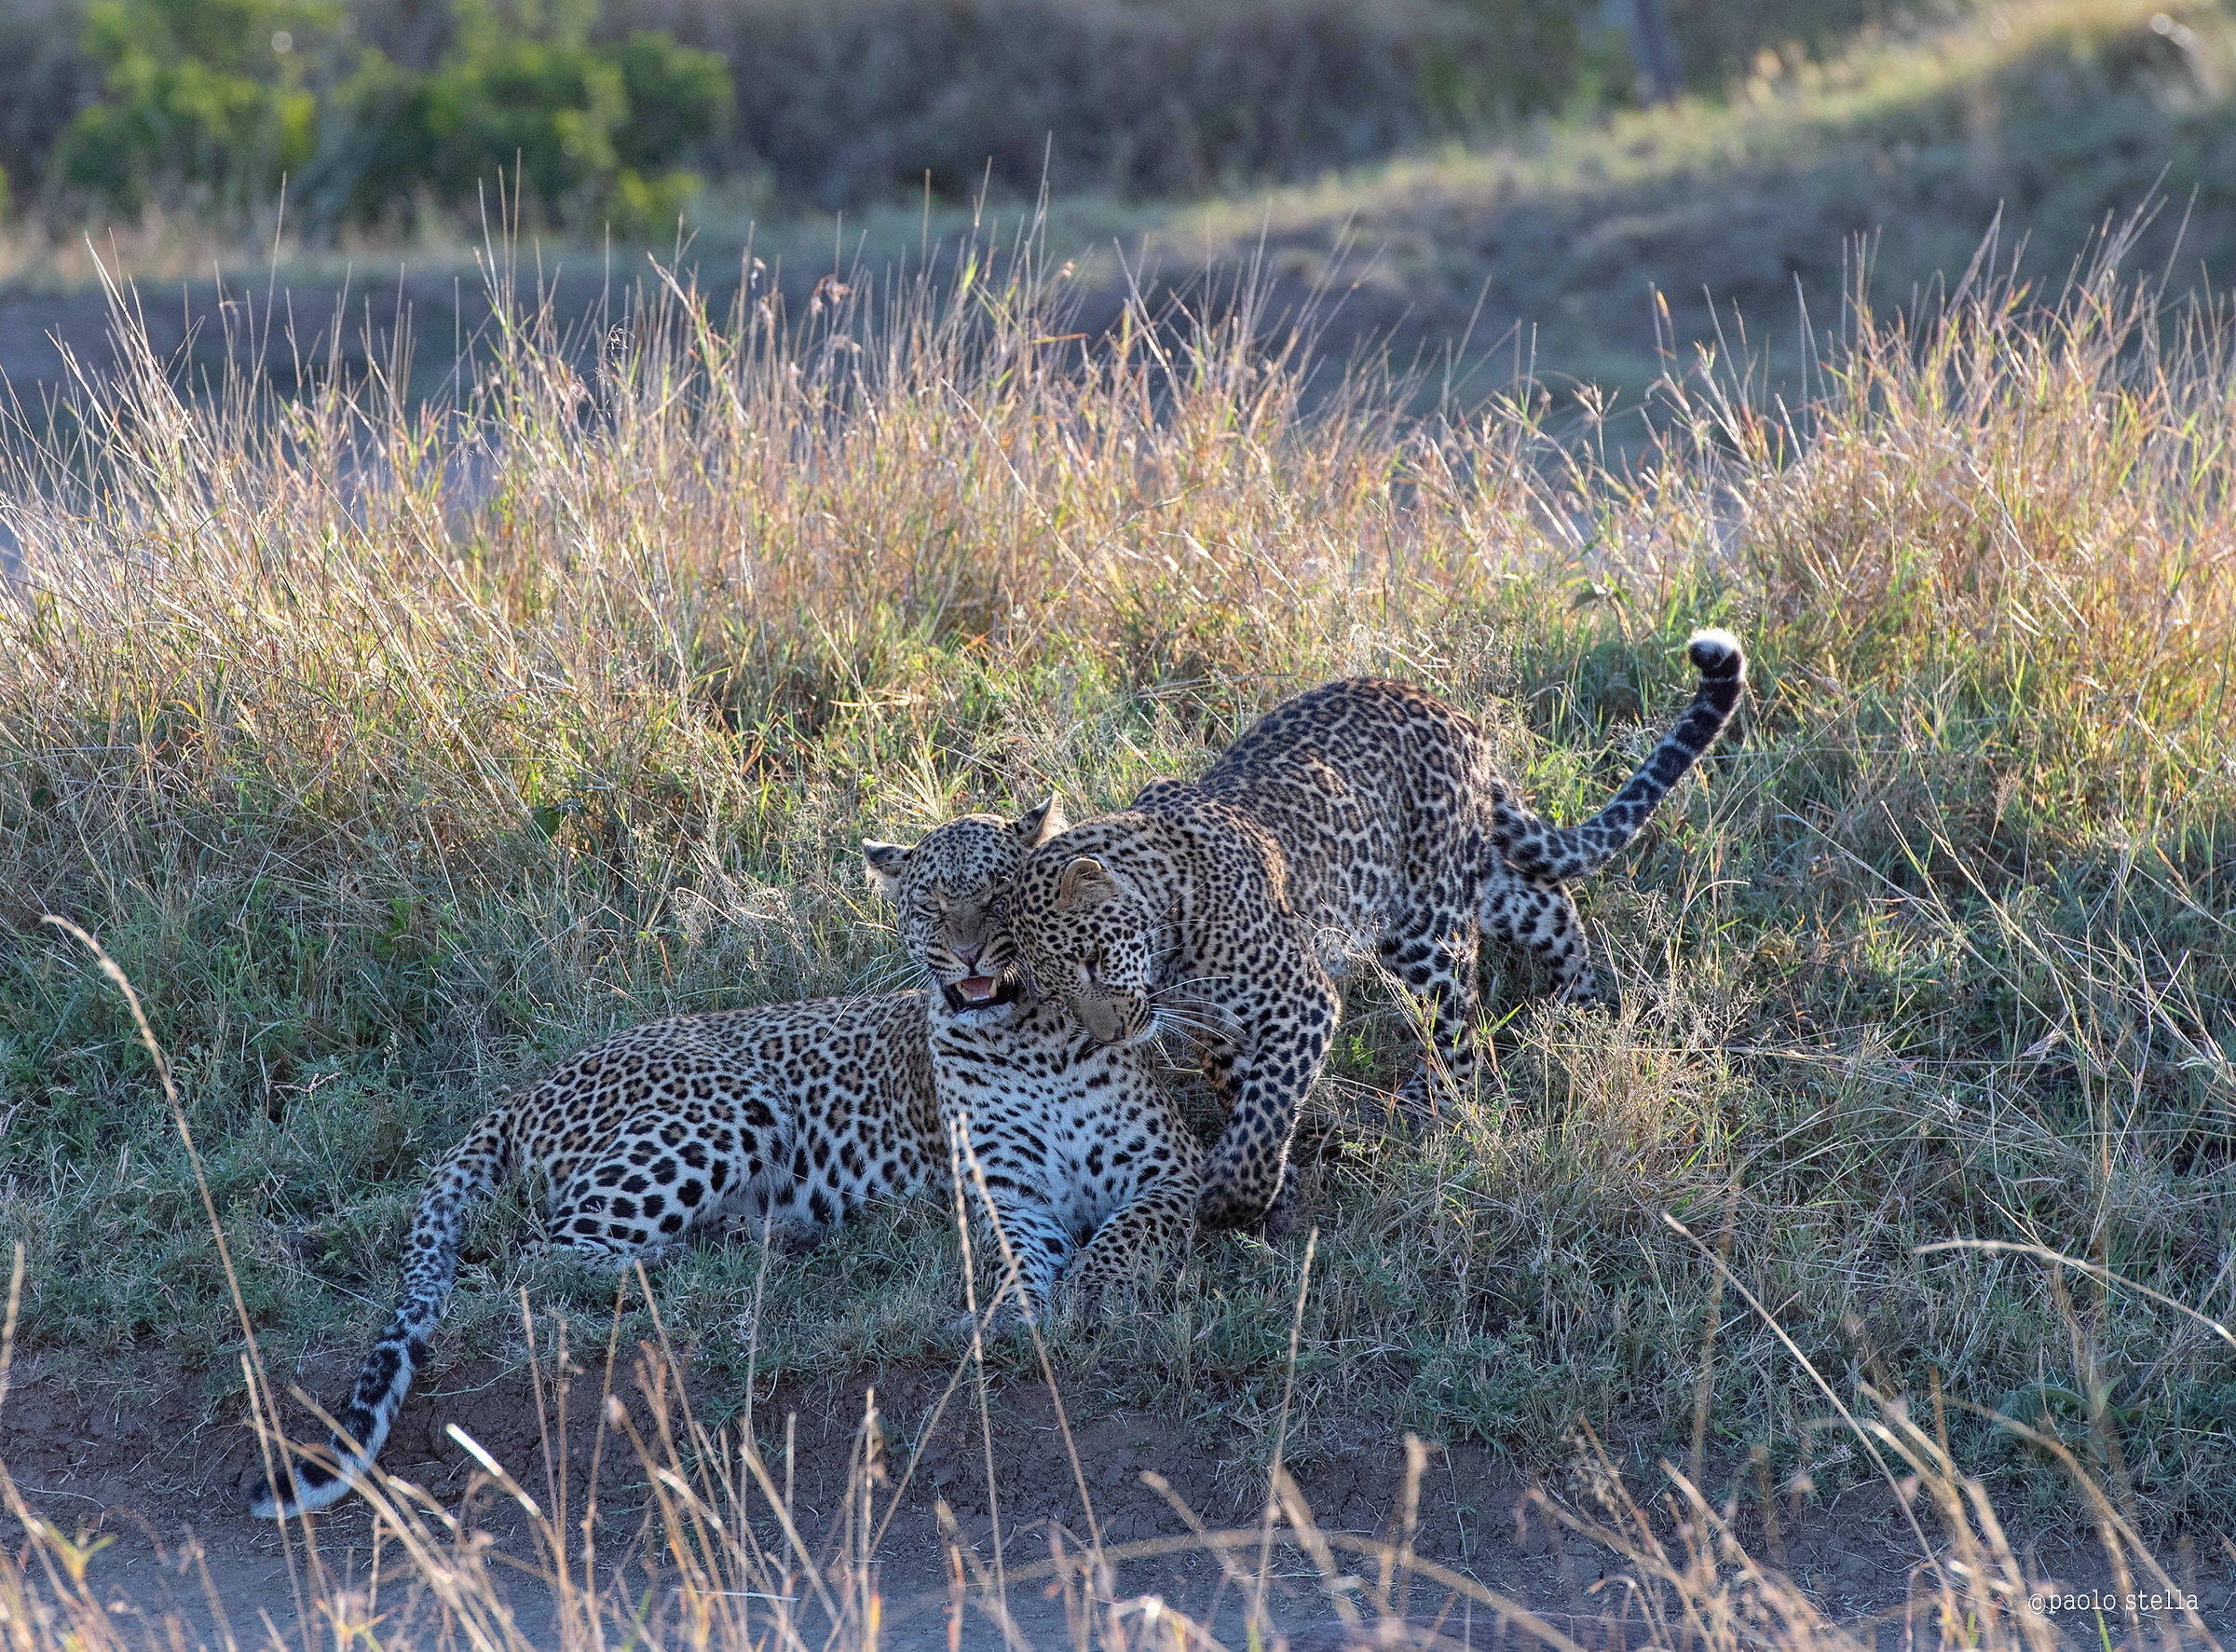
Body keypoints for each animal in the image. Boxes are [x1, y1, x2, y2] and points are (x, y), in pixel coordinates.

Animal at [253, 809, 1198, 1520]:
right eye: (929, 904)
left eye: (997, 896)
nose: (967, 955)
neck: (1028, 1036)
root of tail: (534, 1085)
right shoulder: (1008, 1195)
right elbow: (1012, 1260)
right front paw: (1006, 1314)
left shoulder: (1173, 1172)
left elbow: (1127, 1233)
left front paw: (1091, 1293)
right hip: (724, 1111)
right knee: (542, 1263)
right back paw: (702, 1275)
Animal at [1006, 635, 1752, 1224]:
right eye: (1051, 992)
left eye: (1094, 961)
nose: (1110, 1035)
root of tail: (1451, 712)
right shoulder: (1219, 1028)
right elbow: (1245, 1098)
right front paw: (1270, 1194)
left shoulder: (1299, 1001)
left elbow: (1268, 1105)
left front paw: (1231, 1200)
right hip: (1468, 884)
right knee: (1549, 901)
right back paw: (1582, 1010)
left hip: (1426, 928)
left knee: (1458, 1025)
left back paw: (1445, 1112)